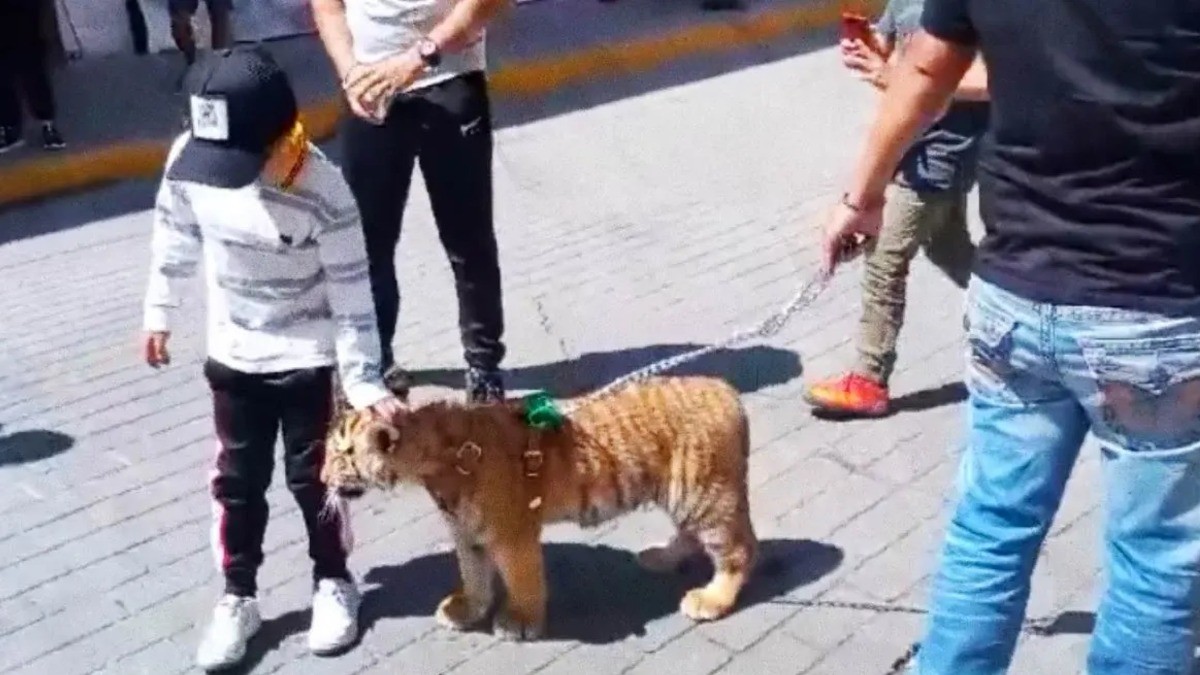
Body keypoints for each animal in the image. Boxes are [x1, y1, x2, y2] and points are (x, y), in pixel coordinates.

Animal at [321, 375, 757, 641]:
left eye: (340, 456)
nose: (322, 478)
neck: (434, 459)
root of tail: (727, 390)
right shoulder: (466, 530)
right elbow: (474, 574)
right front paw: (465, 609)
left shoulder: (511, 532)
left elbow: (521, 578)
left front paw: (519, 621)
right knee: (693, 537)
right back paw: (660, 558)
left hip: (703, 495)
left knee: (740, 549)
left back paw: (711, 600)